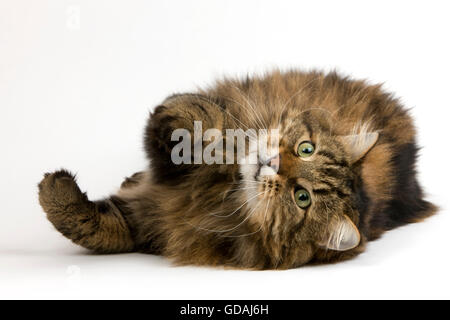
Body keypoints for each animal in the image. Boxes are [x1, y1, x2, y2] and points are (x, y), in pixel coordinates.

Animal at [37, 70, 436, 270]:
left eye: (301, 197)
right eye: (306, 149)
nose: (273, 163)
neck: (224, 186)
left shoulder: (149, 222)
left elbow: (98, 226)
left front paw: (54, 189)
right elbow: (203, 116)